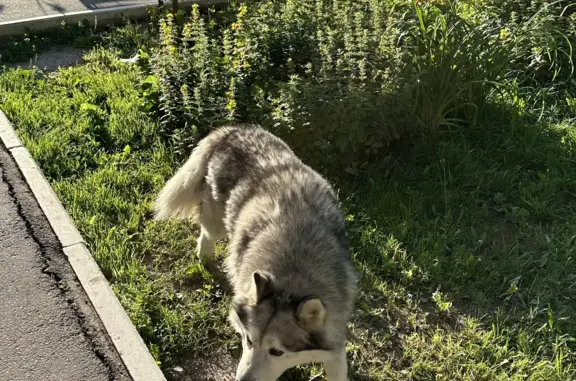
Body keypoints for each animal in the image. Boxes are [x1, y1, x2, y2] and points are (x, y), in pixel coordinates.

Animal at [155, 125, 358, 380]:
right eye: (249, 341)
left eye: (277, 352)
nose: (241, 380)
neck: (293, 274)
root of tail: (233, 129)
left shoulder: (334, 347)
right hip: (218, 222)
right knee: (206, 232)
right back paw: (205, 256)